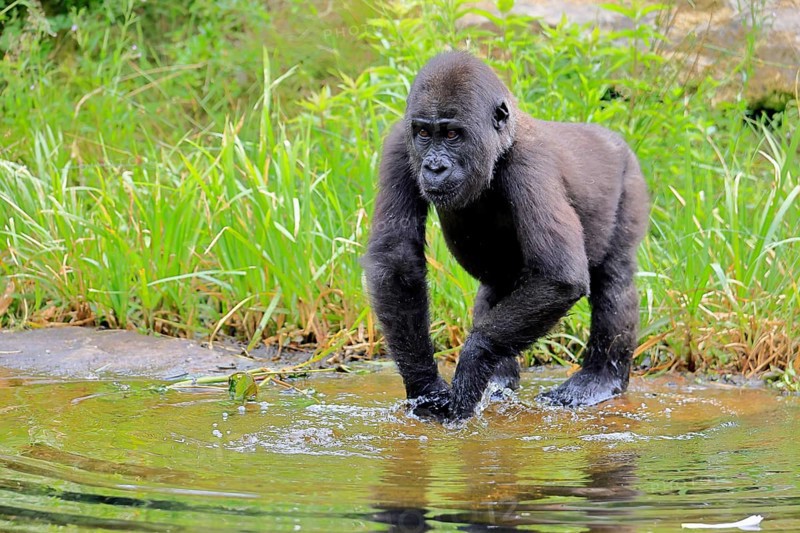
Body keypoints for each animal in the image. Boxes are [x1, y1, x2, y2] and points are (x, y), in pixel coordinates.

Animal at [362, 51, 649, 421]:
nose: (435, 167)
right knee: (497, 285)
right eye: (424, 132)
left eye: (452, 134)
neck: (501, 140)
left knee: (614, 279)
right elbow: (396, 259)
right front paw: (425, 385)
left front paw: (472, 363)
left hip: (629, 176)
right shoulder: (400, 143)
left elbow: (560, 277)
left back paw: (599, 379)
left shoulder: (531, 165)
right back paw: (499, 382)